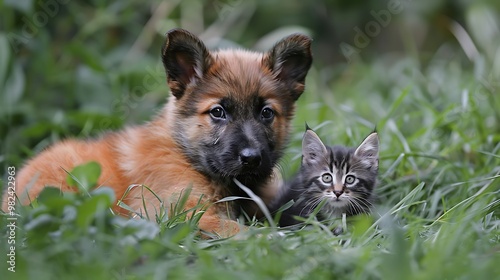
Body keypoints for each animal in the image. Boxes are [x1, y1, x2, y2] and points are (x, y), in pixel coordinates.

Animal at [6, 29, 312, 236]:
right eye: (217, 112)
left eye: (266, 113)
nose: (251, 158)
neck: (187, 155)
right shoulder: (183, 215)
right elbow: (245, 231)